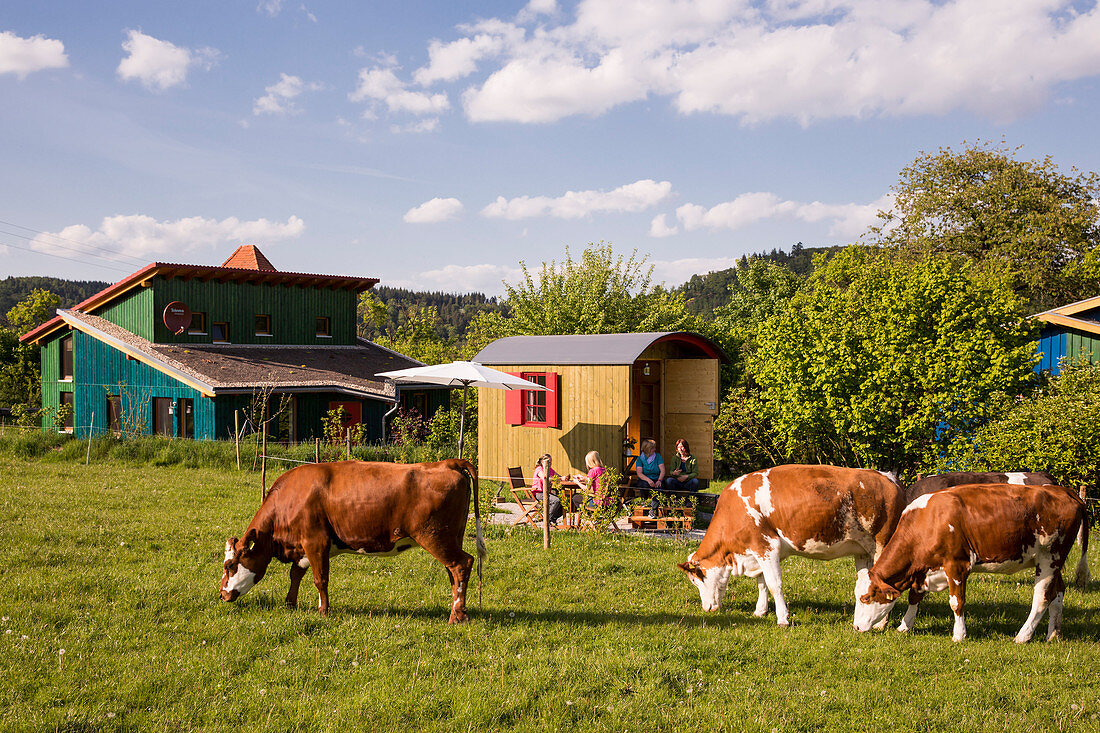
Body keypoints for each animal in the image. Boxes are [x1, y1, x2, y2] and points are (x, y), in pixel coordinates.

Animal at [218, 457, 486, 620]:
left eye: (230, 565)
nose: (221, 594)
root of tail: (447, 463)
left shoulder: (315, 542)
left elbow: (320, 579)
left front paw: (323, 611)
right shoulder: (303, 547)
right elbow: (296, 575)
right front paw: (290, 604)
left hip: (435, 536)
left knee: (462, 564)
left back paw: (456, 616)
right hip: (451, 537)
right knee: (454, 571)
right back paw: (459, 610)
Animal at [677, 464, 902, 625]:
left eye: (696, 580)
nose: (706, 608)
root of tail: (887, 477)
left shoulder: (767, 546)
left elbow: (774, 584)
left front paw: (782, 618)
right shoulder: (756, 552)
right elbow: (762, 583)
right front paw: (760, 611)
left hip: (882, 545)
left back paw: (880, 624)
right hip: (863, 550)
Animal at [853, 482, 1086, 642]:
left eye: (865, 598)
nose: (855, 627)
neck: (928, 521)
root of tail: (1064, 490)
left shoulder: (957, 565)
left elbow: (956, 602)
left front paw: (959, 634)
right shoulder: (922, 570)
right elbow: (915, 596)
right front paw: (905, 626)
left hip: (1049, 558)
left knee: (1042, 597)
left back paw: (1023, 636)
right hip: (1051, 561)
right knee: (1058, 592)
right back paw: (1053, 634)